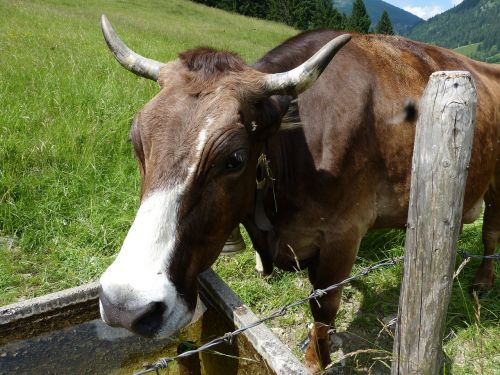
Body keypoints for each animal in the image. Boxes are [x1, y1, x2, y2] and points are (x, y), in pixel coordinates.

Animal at [98, 14, 500, 374]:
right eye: (136, 141)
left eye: (234, 159)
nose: (125, 305)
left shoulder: (344, 232)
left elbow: (323, 305)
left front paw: (315, 361)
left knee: (490, 231)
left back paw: (482, 283)